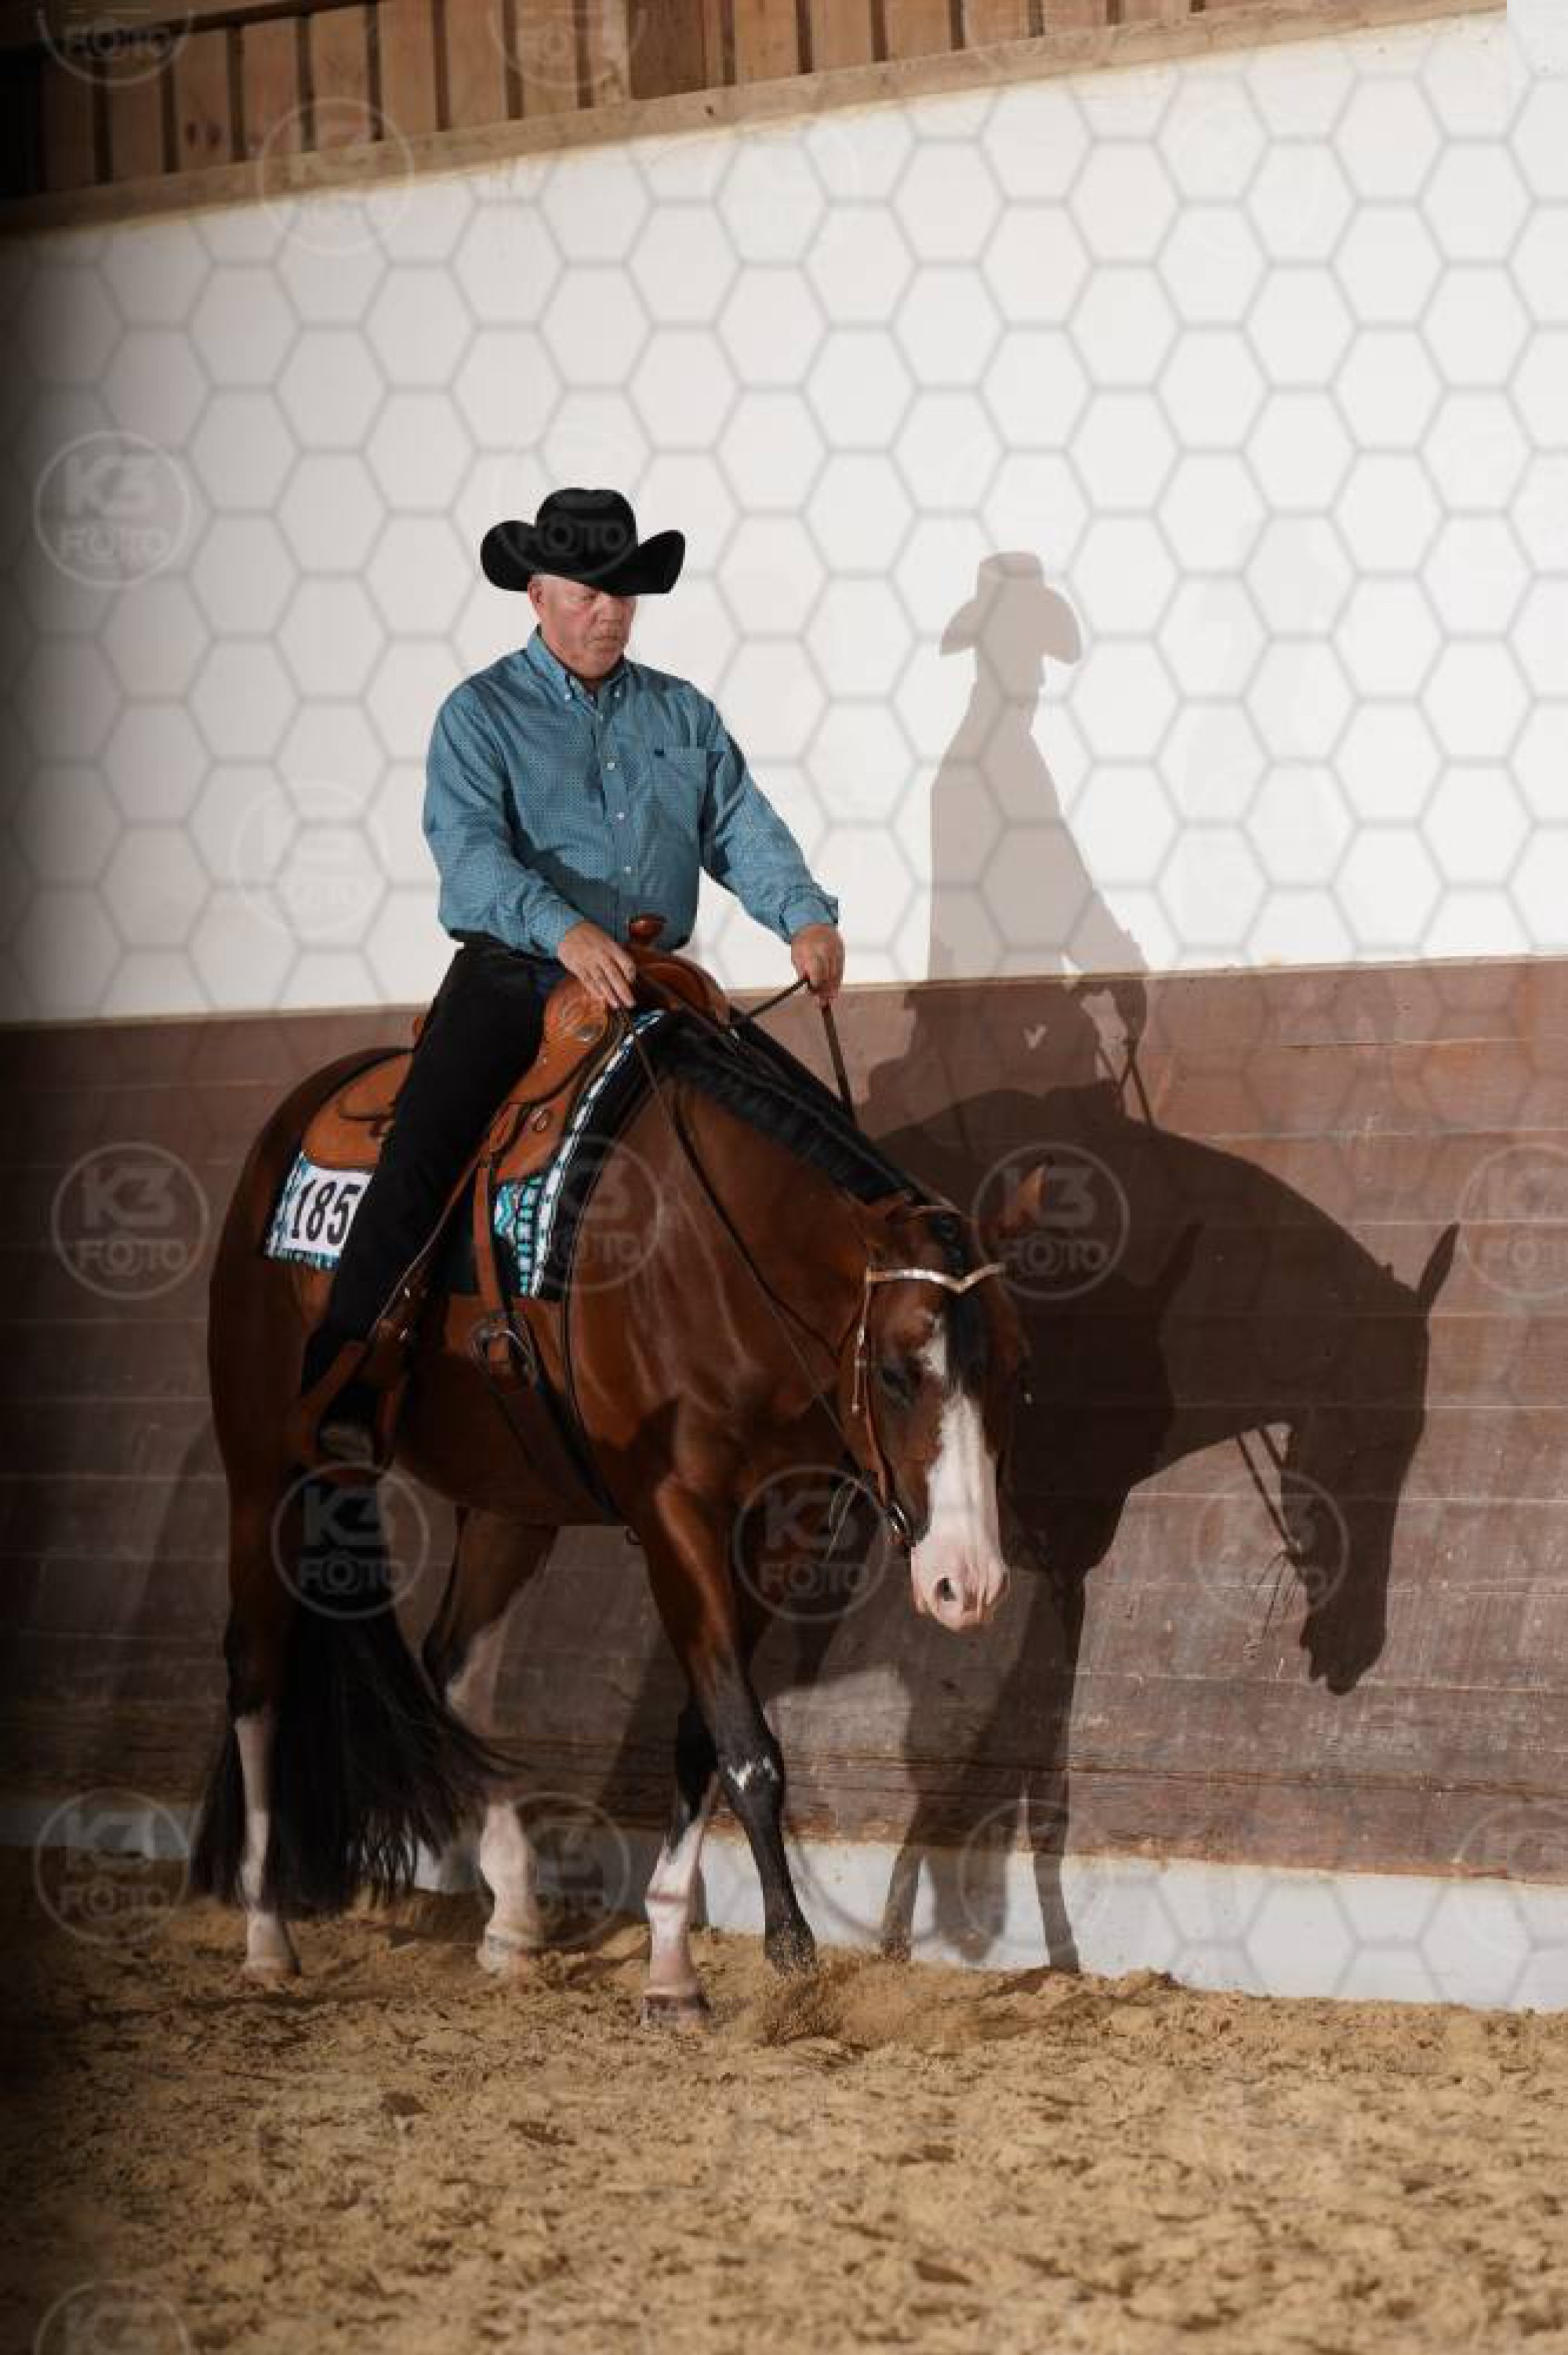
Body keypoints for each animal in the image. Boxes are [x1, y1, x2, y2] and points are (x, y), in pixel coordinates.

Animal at [192, 953, 1045, 2019]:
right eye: (895, 1372)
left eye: (1010, 1374)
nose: (967, 1585)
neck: (712, 1253)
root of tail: (299, 1112)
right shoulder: (675, 1512)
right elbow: (747, 1746)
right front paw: (790, 1950)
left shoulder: (782, 1525)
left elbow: (702, 1733)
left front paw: (670, 1961)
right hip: (266, 1472)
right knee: (257, 1673)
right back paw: (267, 1933)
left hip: (509, 1505)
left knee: (453, 1666)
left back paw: (513, 1920)